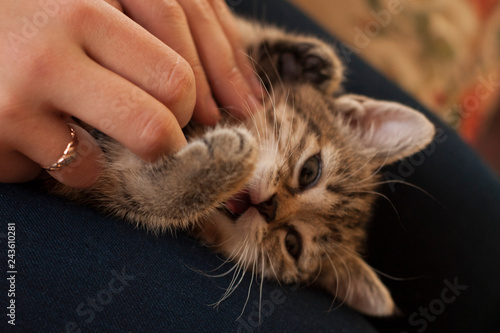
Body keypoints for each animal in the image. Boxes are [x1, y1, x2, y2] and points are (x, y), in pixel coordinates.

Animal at [50, 18, 434, 314]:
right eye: (310, 171)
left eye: (292, 244)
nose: (269, 207)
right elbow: (238, 35)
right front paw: (305, 61)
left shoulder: (93, 180)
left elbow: (146, 197)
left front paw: (215, 166)